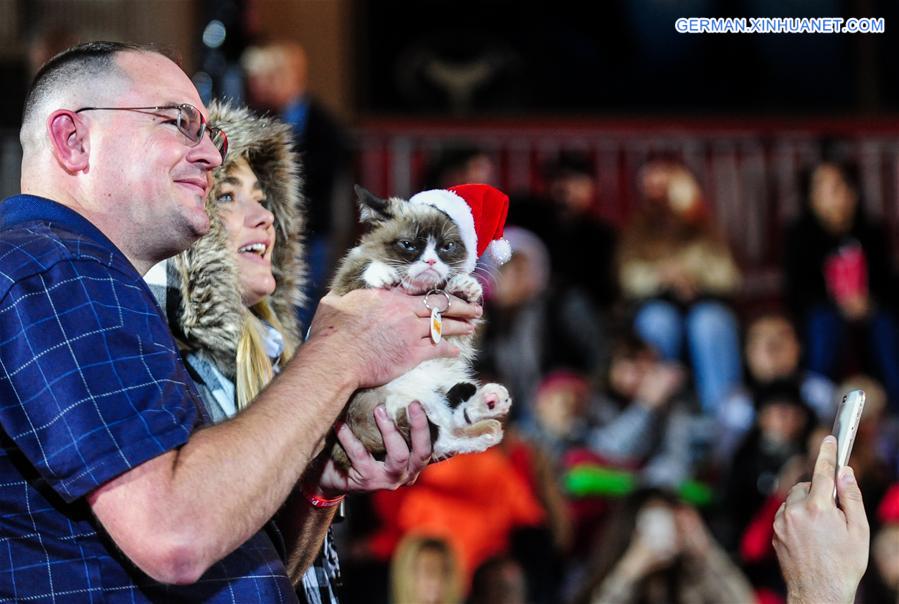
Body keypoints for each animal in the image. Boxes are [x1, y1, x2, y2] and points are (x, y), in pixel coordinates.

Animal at [328, 186, 512, 470]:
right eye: (408, 245)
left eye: (447, 247)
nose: (430, 262)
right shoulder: (343, 288)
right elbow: (363, 269)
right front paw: (382, 273)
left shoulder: (458, 333)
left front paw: (465, 285)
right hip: (374, 404)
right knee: (432, 430)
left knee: (446, 427)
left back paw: (491, 403)